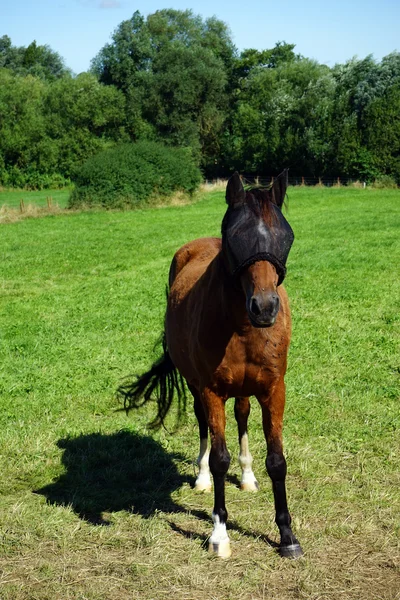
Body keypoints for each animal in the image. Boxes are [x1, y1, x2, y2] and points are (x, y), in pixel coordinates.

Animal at [119, 171, 304, 560]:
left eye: (285, 235)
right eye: (235, 236)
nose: (265, 307)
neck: (243, 328)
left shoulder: (273, 389)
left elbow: (277, 460)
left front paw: (287, 535)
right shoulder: (211, 390)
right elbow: (220, 457)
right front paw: (219, 533)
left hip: (246, 390)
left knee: (243, 415)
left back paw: (247, 476)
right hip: (195, 385)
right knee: (204, 424)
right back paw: (202, 477)